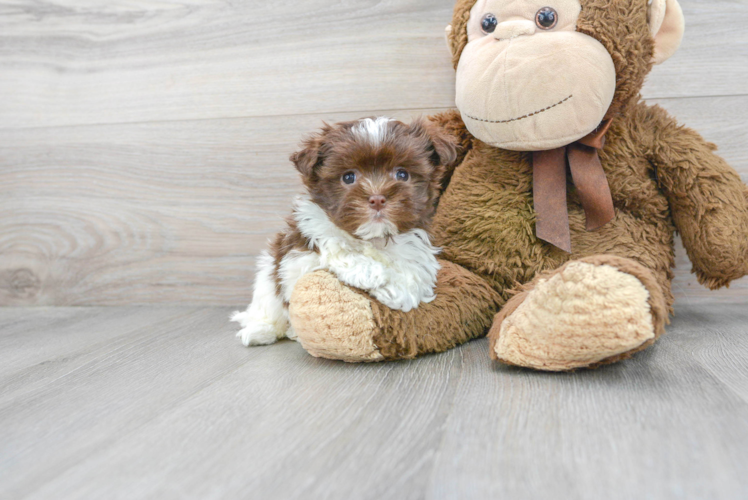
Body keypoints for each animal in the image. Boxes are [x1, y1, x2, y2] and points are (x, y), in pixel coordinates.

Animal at [232, 116, 456, 346]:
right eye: (348, 177)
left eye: (402, 174)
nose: (377, 199)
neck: (373, 238)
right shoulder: (300, 249)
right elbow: (333, 246)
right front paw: (372, 273)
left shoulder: (416, 245)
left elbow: (415, 272)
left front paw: (399, 290)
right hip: (267, 276)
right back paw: (261, 330)